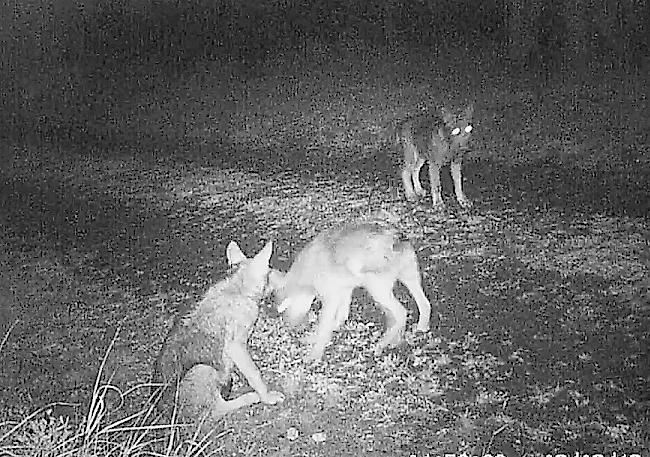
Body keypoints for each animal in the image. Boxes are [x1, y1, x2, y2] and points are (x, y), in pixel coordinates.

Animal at [153, 240, 284, 426]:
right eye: (270, 270)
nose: (285, 274)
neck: (238, 289)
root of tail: (166, 417)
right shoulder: (236, 346)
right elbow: (255, 374)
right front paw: (266, 396)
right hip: (204, 369)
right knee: (217, 411)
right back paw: (251, 397)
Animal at [266, 221, 432, 360]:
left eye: (285, 309)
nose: (290, 326)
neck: (308, 269)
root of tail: (397, 240)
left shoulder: (331, 296)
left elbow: (324, 325)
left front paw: (314, 354)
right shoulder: (344, 290)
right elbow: (340, 317)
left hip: (377, 288)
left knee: (401, 312)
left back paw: (380, 346)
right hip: (409, 278)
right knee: (423, 305)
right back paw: (412, 333)